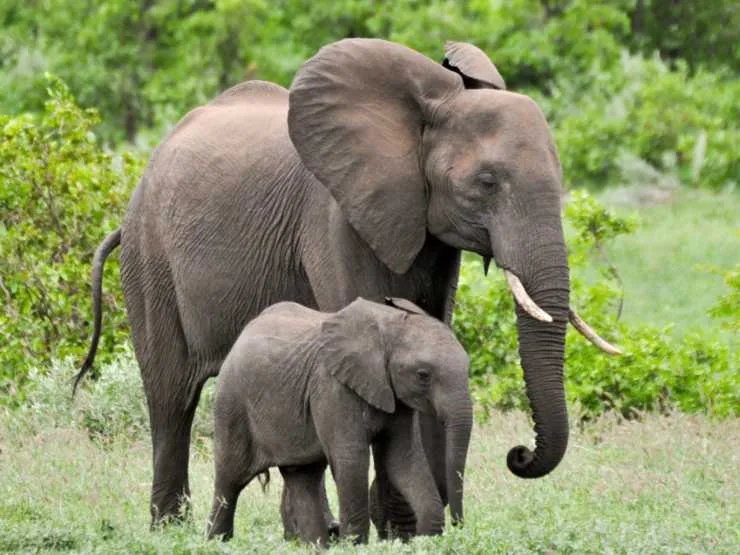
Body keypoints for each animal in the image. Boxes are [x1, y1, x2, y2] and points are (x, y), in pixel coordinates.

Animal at [206, 297, 472, 546]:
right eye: (423, 375)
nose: (458, 525)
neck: (388, 325)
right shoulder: (332, 387)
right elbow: (352, 460)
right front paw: (354, 545)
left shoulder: (396, 397)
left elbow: (403, 458)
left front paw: (426, 540)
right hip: (231, 403)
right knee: (229, 480)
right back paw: (216, 543)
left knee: (303, 477)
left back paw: (316, 546)